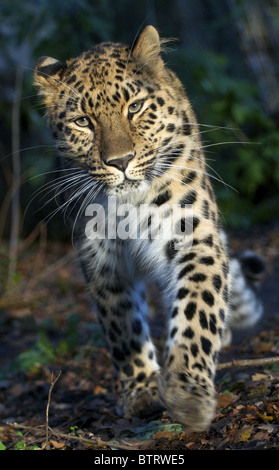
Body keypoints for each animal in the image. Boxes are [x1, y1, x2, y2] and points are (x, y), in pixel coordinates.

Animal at [34, 24, 266, 430]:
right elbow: (124, 327)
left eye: (135, 107)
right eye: (83, 122)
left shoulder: (194, 236)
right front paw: (141, 392)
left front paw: (187, 393)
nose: (120, 161)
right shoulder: (101, 260)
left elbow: (196, 309)